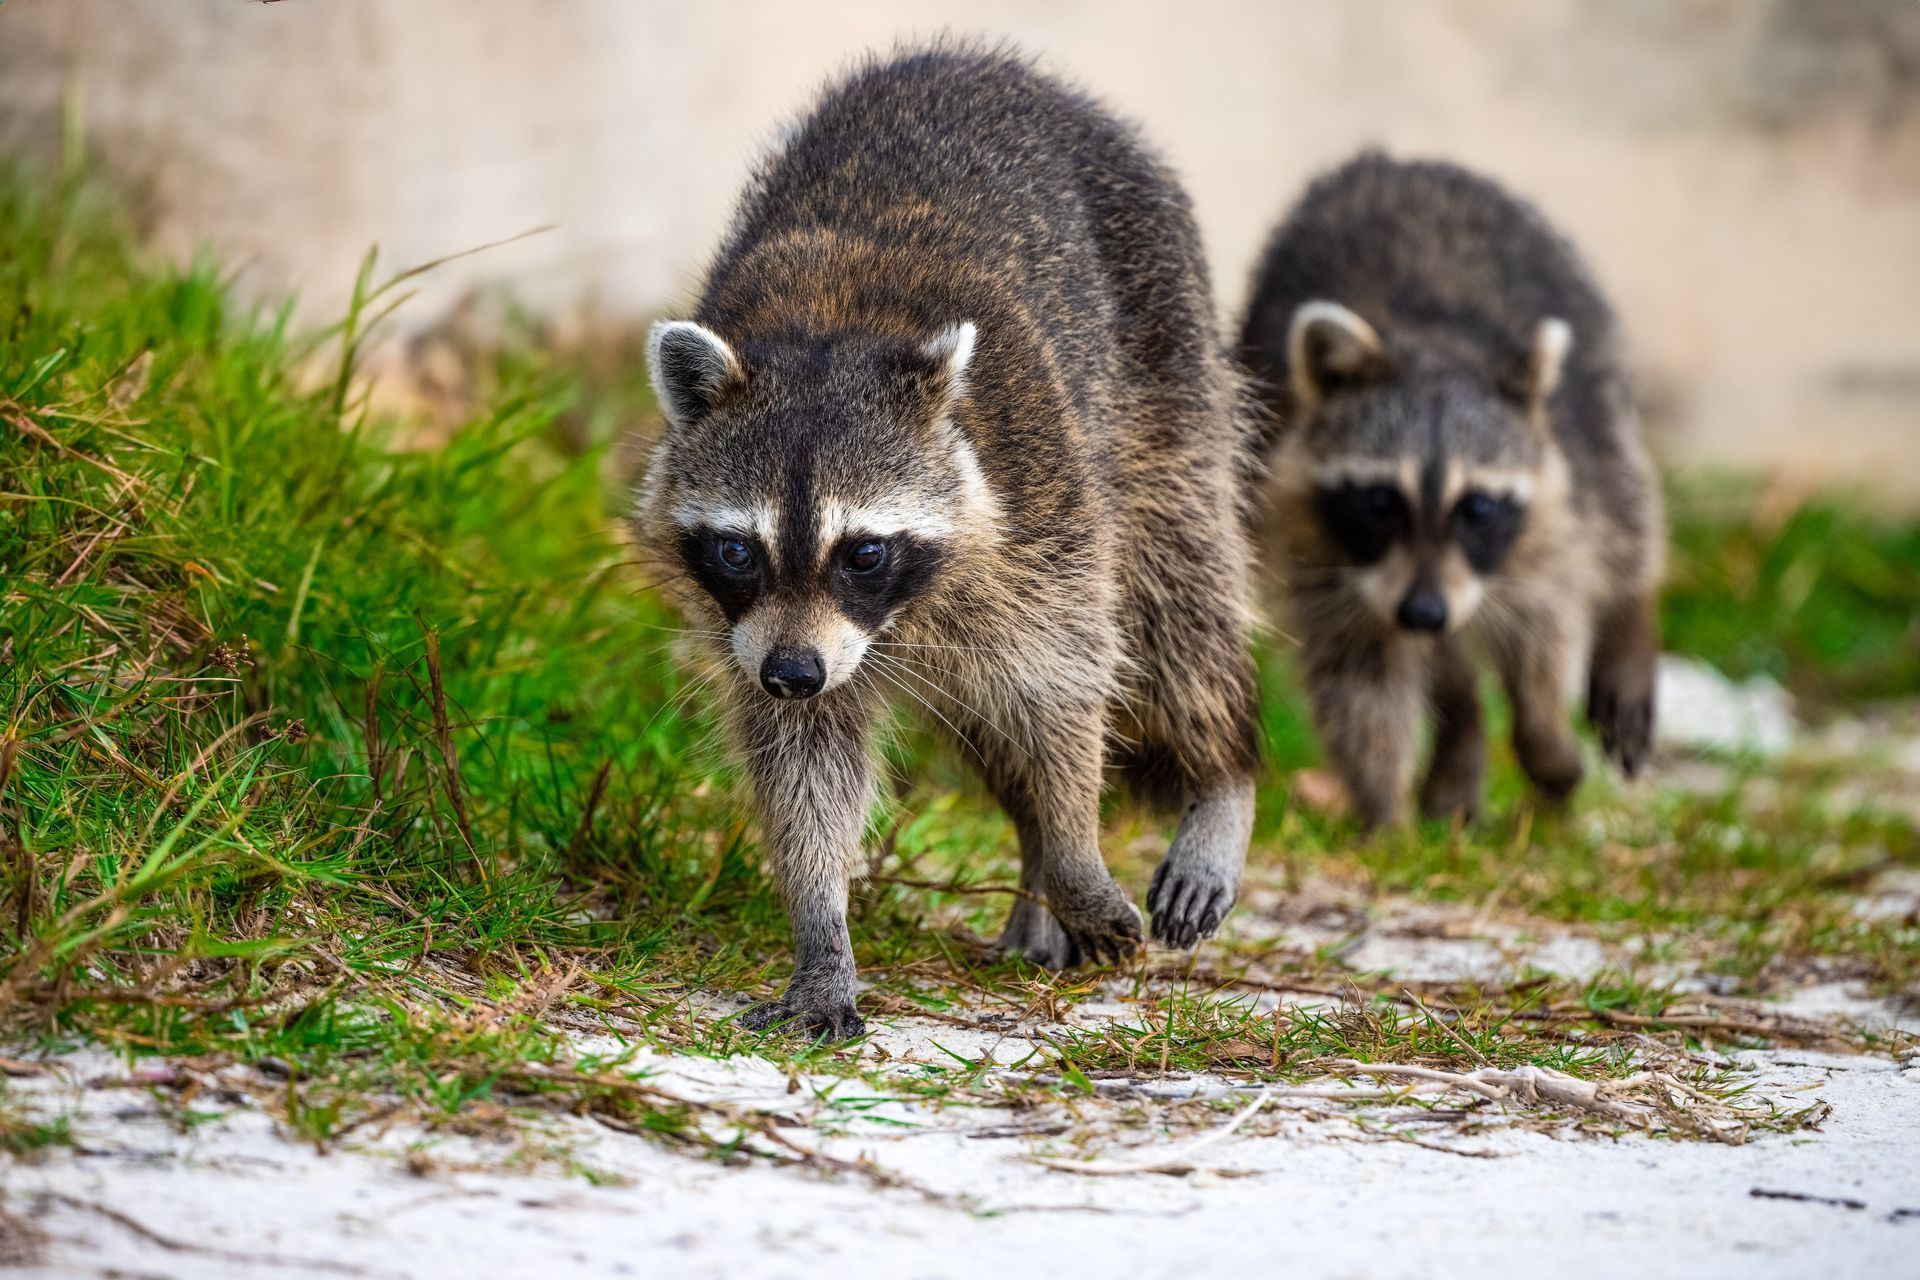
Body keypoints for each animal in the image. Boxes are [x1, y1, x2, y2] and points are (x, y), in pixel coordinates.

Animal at [635, 47, 1262, 1038]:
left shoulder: (1040, 498)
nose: (793, 673)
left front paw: (1076, 851)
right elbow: (804, 761)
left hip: (1166, 367)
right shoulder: (762, 634)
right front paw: (822, 931)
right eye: (739, 551)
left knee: (1179, 596)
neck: (825, 332)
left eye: (863, 552)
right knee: (989, 727)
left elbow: (1062, 686)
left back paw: (1219, 776)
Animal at [1238, 152, 1663, 829]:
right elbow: (1357, 670)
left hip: (1596, 370)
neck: (1431, 349)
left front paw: (1543, 731)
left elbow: (1545, 617)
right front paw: (1384, 808)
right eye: (1381, 500)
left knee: (1626, 514)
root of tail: (1391, 161)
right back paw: (1459, 734)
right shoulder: (1312, 530)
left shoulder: (1553, 493)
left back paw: (1627, 621)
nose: (1424, 612)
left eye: (1478, 506)